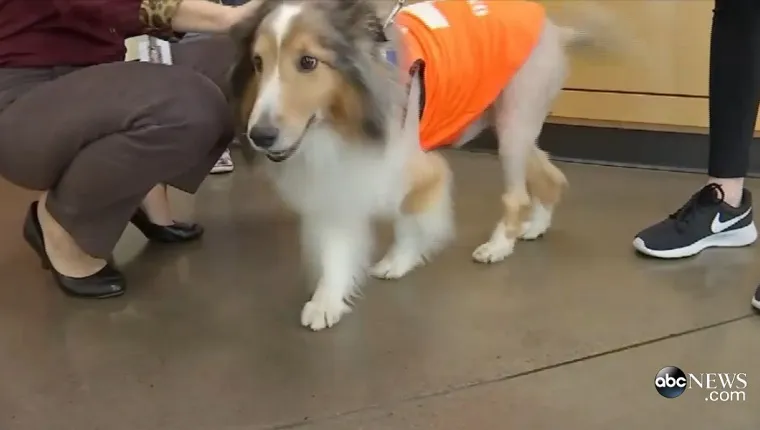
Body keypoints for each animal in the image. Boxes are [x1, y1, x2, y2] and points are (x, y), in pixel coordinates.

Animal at [229, 0, 620, 330]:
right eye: (258, 62)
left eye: (308, 62)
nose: (259, 135)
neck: (348, 118)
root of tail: (555, 28)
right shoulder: (338, 180)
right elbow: (334, 248)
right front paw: (327, 301)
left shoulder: (420, 172)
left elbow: (409, 221)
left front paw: (398, 262)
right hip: (510, 127)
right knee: (550, 175)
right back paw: (536, 225)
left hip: (513, 126)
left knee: (517, 195)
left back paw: (499, 246)